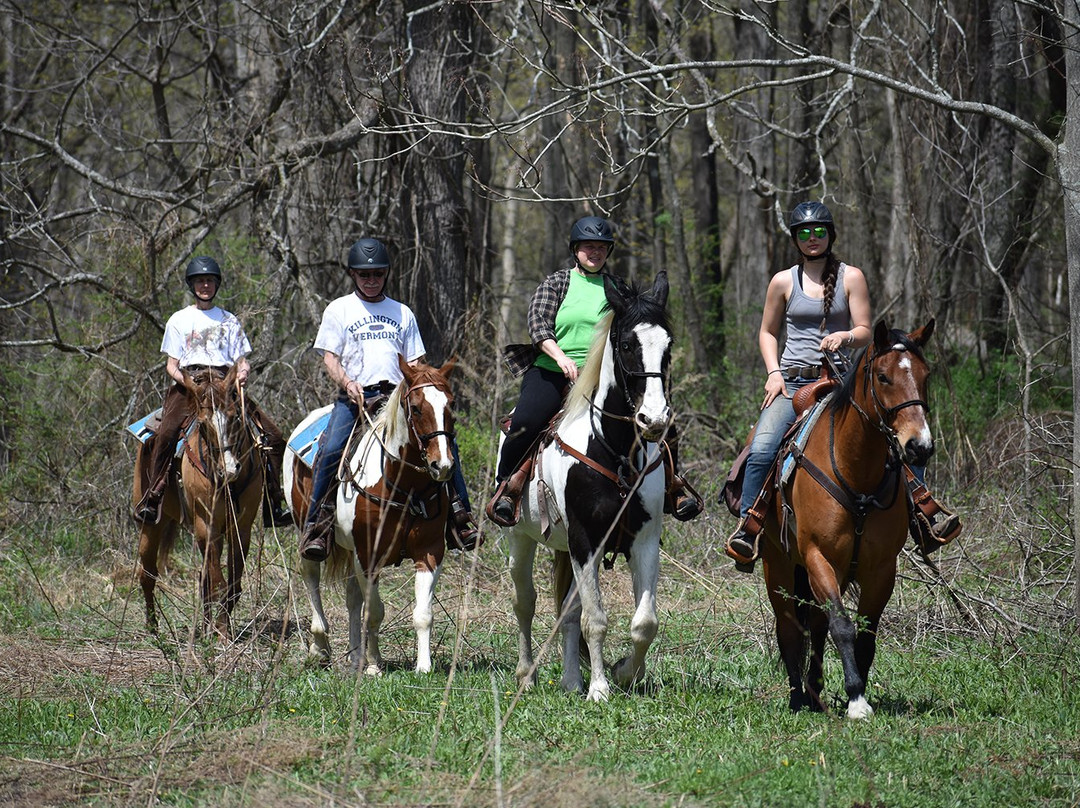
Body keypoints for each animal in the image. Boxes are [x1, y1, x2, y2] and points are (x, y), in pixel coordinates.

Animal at [132, 365, 263, 639]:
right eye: (203, 423)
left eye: (235, 416)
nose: (229, 469)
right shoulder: (206, 526)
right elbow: (218, 583)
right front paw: (222, 634)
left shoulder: (241, 529)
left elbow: (232, 585)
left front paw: (220, 629)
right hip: (150, 525)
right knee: (147, 574)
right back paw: (153, 628)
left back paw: (203, 627)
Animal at [282, 356, 455, 674]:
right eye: (416, 408)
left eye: (450, 406)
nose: (443, 465)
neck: (404, 486)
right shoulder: (368, 556)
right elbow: (374, 611)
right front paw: (375, 665)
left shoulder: (430, 551)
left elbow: (423, 613)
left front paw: (423, 666)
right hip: (307, 533)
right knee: (311, 577)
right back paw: (320, 647)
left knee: (352, 598)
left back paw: (354, 656)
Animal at [501, 271, 669, 699]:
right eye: (627, 345)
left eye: (668, 346)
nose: (654, 419)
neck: (614, 450)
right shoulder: (585, 541)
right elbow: (596, 619)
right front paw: (600, 689)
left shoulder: (644, 539)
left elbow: (645, 622)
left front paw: (626, 672)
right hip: (520, 538)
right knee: (525, 602)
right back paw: (527, 674)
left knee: (568, 611)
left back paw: (571, 679)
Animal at [760, 319, 937, 717]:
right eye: (883, 377)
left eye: (925, 375)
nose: (919, 446)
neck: (858, 473)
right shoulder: (817, 556)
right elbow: (842, 626)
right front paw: (856, 699)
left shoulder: (881, 568)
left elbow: (865, 633)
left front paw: (858, 690)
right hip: (777, 565)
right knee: (790, 628)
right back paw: (798, 697)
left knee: (816, 624)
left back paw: (815, 691)